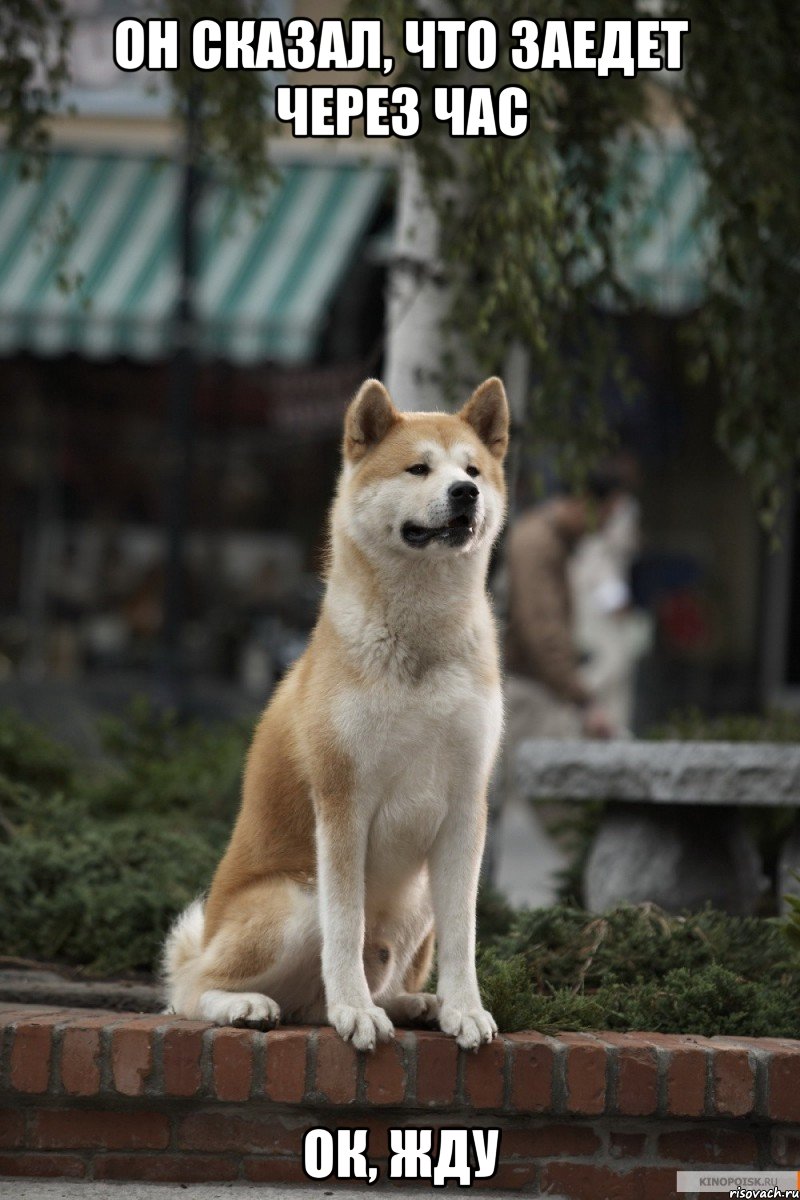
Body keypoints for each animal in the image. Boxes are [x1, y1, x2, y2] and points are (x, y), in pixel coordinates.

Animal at [165, 374, 510, 1051]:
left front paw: (464, 1009)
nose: (465, 493)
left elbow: (464, 935)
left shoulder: (466, 806)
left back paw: (415, 1003)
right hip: (295, 900)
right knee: (189, 990)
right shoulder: (343, 801)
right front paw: (355, 1011)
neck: (420, 643)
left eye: (473, 470)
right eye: (418, 468)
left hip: (417, 900)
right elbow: (346, 928)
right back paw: (250, 1005)